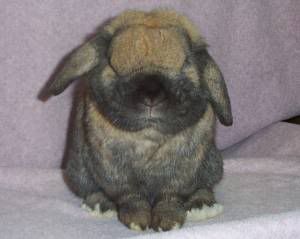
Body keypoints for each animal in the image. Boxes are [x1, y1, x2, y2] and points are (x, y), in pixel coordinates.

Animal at [47, 9, 232, 232]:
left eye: (185, 63)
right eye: (112, 65)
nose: (151, 94)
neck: (148, 134)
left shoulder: (182, 173)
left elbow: (170, 198)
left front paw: (168, 223)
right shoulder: (115, 173)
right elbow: (131, 198)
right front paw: (138, 222)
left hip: (213, 163)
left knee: (205, 186)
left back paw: (202, 206)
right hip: (78, 169)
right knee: (91, 189)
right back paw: (100, 206)